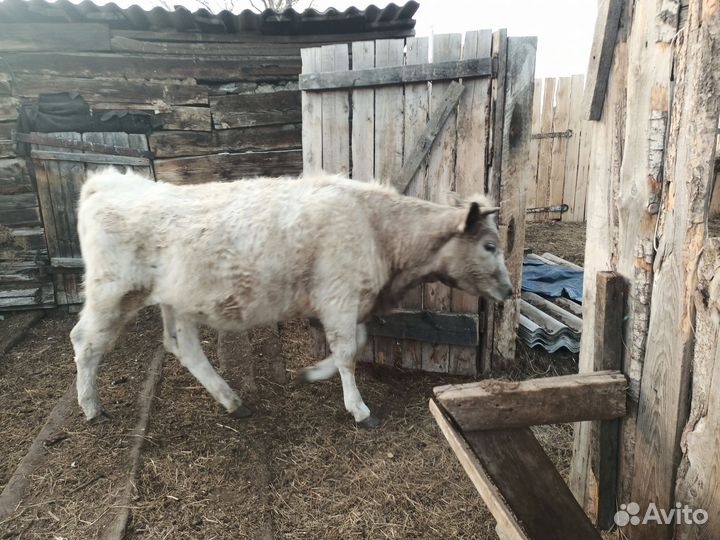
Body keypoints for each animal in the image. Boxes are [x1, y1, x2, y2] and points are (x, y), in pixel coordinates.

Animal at [71, 168, 513, 428]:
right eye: (490, 246)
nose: (509, 291)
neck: (376, 226)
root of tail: (108, 180)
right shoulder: (338, 296)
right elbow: (348, 352)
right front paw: (359, 409)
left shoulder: (347, 301)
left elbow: (356, 344)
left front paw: (313, 374)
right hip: (112, 290)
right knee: (85, 342)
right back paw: (92, 407)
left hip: (179, 300)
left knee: (183, 346)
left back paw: (231, 400)